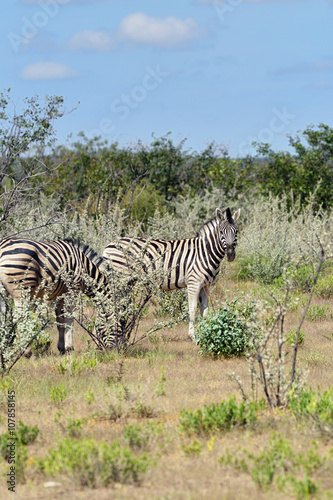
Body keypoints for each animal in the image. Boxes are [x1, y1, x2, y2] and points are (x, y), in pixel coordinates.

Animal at [102, 207, 240, 340]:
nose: (230, 254)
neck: (205, 252)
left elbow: (204, 311)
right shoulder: (193, 283)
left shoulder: (206, 285)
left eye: (236, 232)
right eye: (221, 232)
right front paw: (192, 336)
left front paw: (206, 333)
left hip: (127, 281)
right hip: (120, 278)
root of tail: (109, 245)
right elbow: (192, 310)